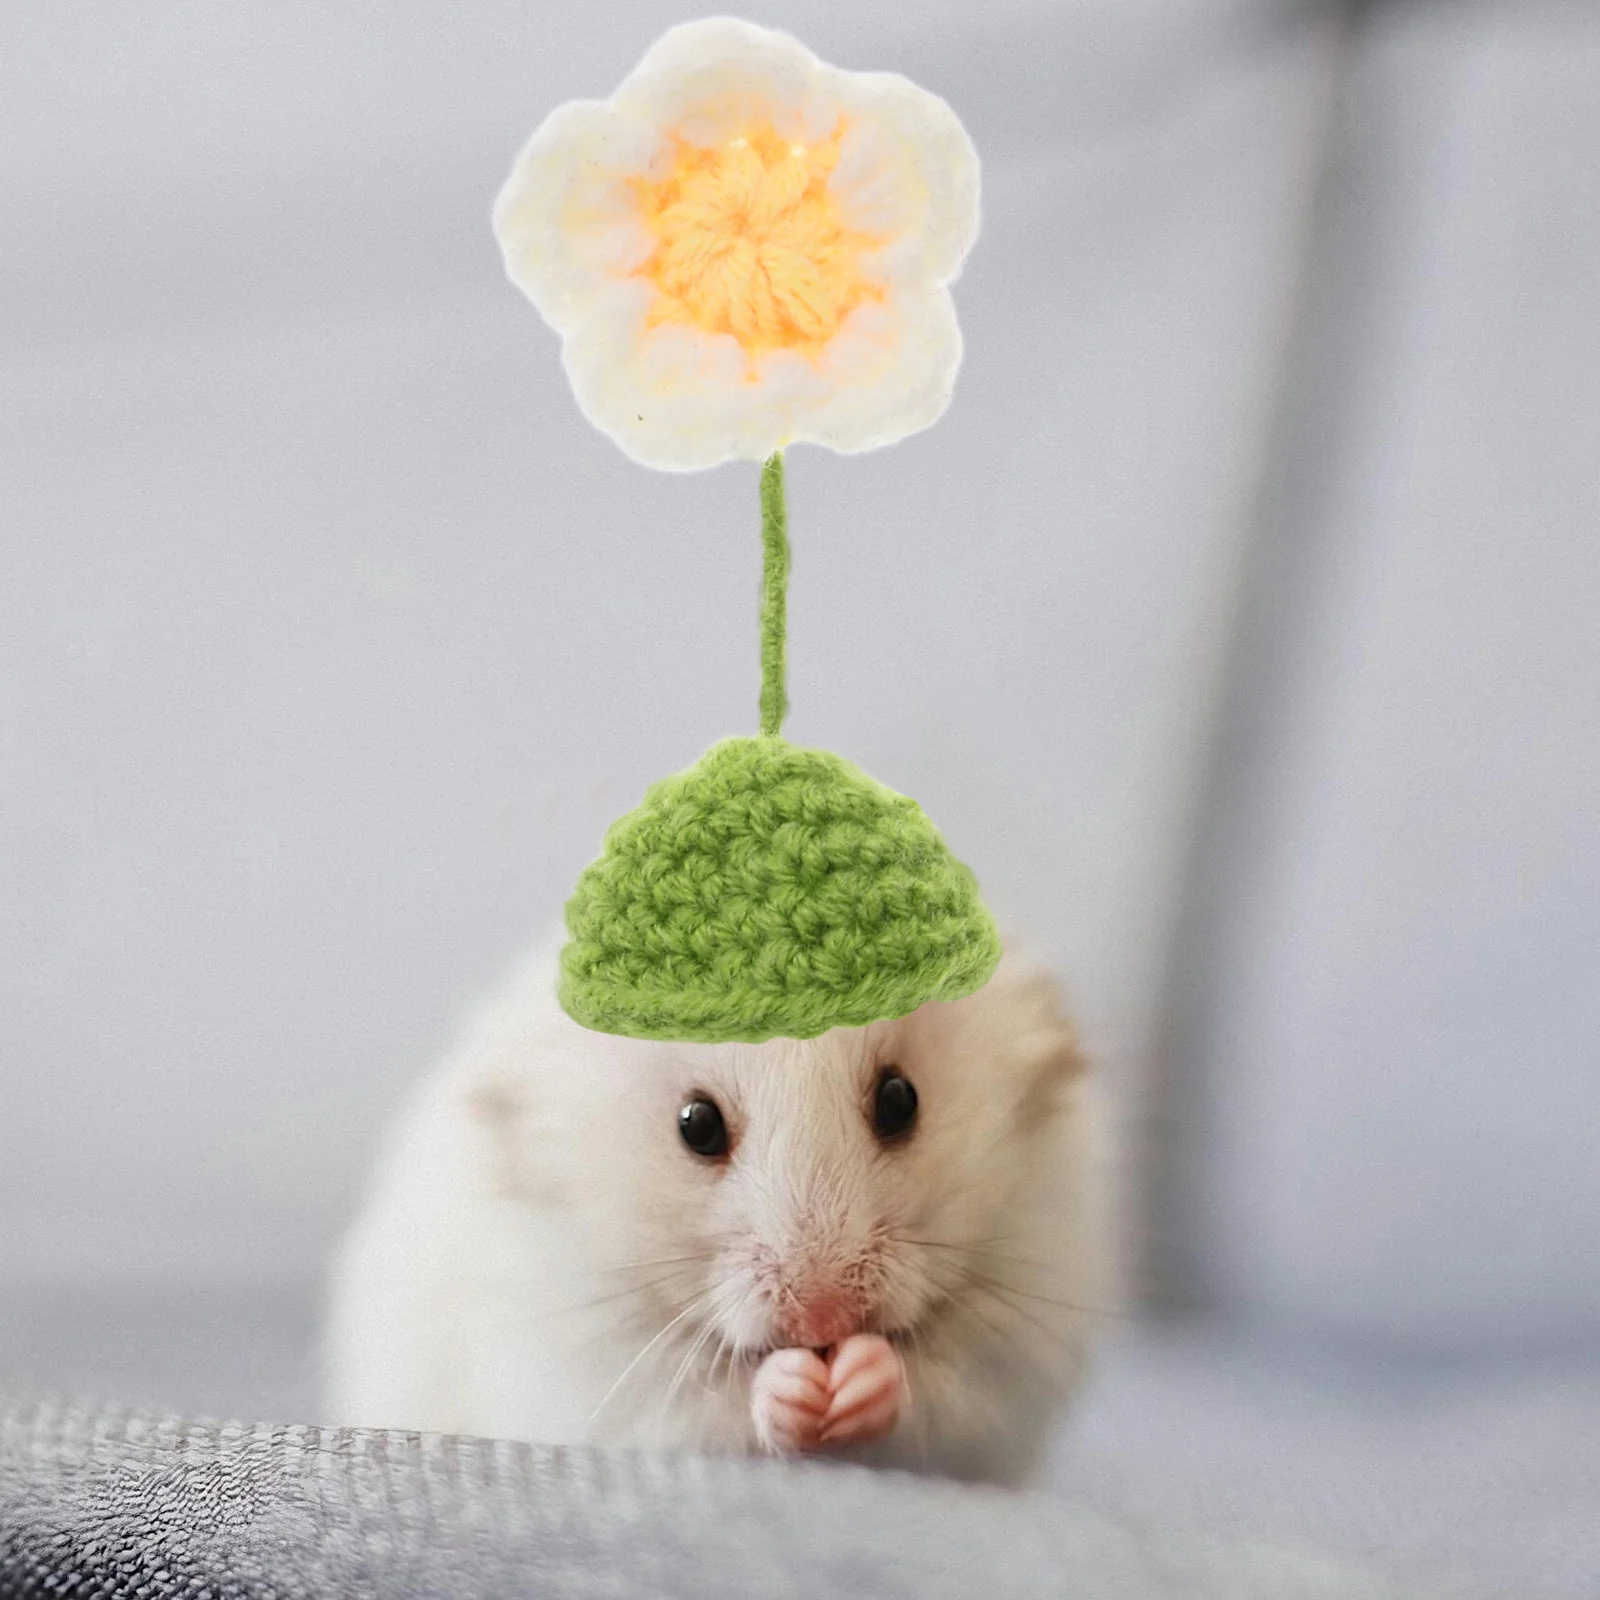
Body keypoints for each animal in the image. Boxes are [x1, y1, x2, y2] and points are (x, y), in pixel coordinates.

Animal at [323, 933, 1110, 1485]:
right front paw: (794, 1389)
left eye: (900, 1099)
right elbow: (716, 1403)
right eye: (696, 1124)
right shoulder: (600, 1371)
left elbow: (937, 1391)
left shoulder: (1013, 1352)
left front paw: (860, 1376)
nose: (825, 1322)